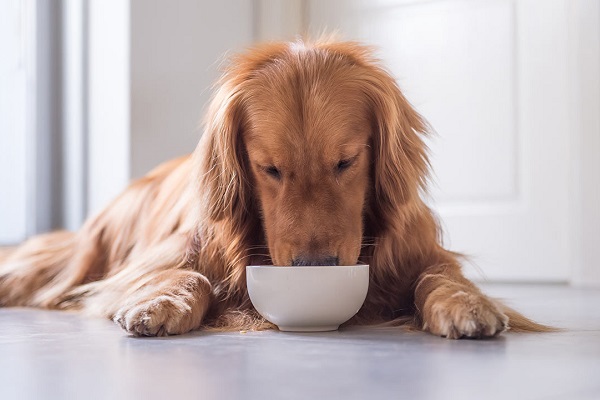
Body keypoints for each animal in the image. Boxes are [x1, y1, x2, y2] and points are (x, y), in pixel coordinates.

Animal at [0, 39, 548, 338]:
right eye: (270, 169)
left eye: (346, 161)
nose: (316, 268)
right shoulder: (165, 256)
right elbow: (186, 275)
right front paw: (161, 303)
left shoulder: (423, 252)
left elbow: (437, 277)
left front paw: (467, 305)